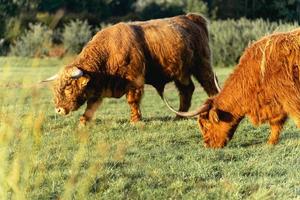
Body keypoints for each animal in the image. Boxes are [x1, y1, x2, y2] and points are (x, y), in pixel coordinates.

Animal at [42, 13, 220, 124]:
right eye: (56, 89)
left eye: (68, 88)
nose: (58, 110)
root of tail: (191, 17)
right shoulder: (98, 87)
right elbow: (91, 106)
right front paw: (83, 122)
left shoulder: (135, 80)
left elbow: (132, 100)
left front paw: (135, 120)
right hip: (181, 72)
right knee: (186, 90)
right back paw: (178, 116)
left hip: (202, 64)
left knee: (210, 85)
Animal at [165, 27, 300, 147]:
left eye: (206, 124)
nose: (207, 144)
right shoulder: (276, 104)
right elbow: (276, 124)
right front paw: (270, 143)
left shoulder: (291, 98)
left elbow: (296, 118)